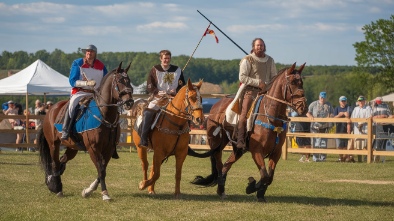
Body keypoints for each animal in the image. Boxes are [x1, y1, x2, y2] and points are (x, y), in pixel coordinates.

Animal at [38, 61, 135, 200]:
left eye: (129, 81)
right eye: (120, 80)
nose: (129, 102)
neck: (104, 114)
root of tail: (50, 111)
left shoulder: (109, 149)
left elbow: (102, 170)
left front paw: (88, 191)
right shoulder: (93, 148)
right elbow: (101, 170)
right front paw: (105, 194)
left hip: (72, 147)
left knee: (62, 161)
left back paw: (52, 182)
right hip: (53, 144)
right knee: (54, 163)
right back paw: (57, 188)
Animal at [191, 62, 308, 202]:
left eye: (301, 82)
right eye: (292, 82)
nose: (303, 106)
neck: (271, 116)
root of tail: (216, 106)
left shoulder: (276, 152)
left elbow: (269, 177)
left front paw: (260, 194)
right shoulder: (256, 151)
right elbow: (264, 175)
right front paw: (251, 186)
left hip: (237, 148)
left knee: (226, 165)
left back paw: (221, 189)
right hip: (216, 144)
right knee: (219, 165)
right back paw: (221, 189)